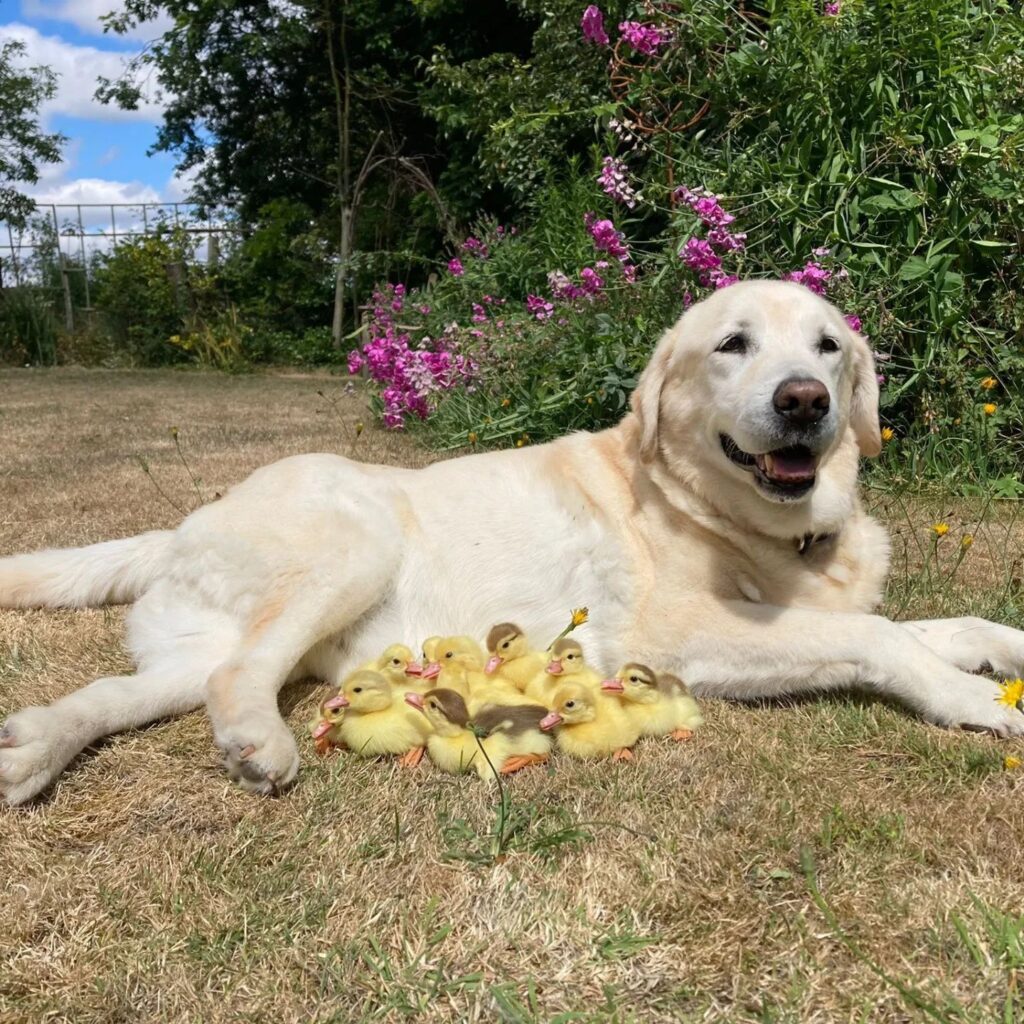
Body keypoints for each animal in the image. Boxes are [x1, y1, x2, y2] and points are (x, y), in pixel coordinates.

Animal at [2, 282, 1024, 806]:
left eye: (827, 349)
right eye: (733, 345)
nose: (805, 402)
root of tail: (184, 522)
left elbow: (958, 626)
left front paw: (999, 655)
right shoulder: (680, 636)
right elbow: (881, 637)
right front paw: (980, 704)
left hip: (187, 648)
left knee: (130, 691)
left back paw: (31, 750)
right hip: (353, 544)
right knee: (237, 678)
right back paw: (259, 742)